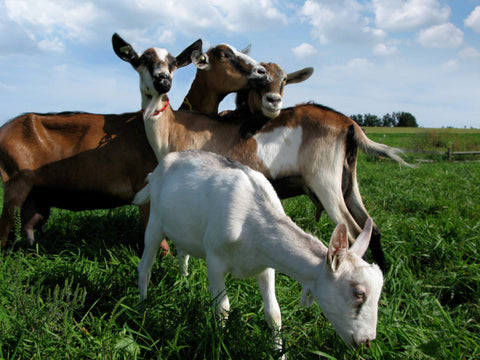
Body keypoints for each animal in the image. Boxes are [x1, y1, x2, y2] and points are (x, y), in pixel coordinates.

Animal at [133, 150, 384, 354]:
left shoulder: (266, 266)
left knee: (182, 253)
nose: (367, 342)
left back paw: (184, 283)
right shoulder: (214, 261)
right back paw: (142, 310)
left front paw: (279, 353)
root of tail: (157, 170)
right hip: (155, 221)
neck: (251, 222)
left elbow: (274, 313)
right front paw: (219, 345)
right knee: (145, 267)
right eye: (358, 293)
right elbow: (223, 308)